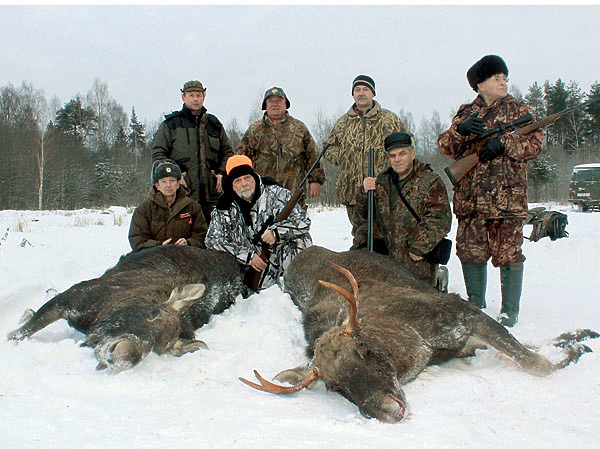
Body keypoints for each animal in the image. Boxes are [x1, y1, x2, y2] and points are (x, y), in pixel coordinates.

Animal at [241, 247, 596, 422]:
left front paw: (576, 346)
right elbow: (533, 354)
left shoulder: (463, 314)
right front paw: (575, 344)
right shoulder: (465, 341)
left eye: (363, 347)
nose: (386, 409)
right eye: (334, 386)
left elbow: (535, 361)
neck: (416, 348)